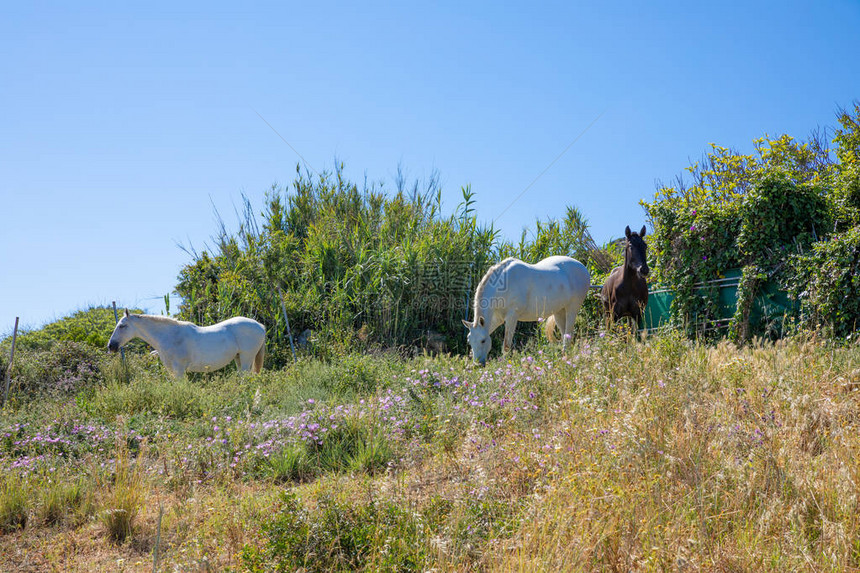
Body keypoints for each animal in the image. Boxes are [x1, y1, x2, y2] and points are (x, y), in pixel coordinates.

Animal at [109, 310, 268, 378]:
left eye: (122, 326)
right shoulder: (172, 371)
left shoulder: (179, 370)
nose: (111, 346)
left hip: (247, 358)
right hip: (238, 358)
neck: (170, 336)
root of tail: (260, 326)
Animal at [464, 256, 592, 364]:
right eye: (469, 341)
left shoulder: (512, 317)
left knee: (568, 334)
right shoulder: (497, 319)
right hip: (559, 312)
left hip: (572, 309)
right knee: (566, 335)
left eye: (483, 341)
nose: (478, 364)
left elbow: (506, 346)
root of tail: (583, 268)